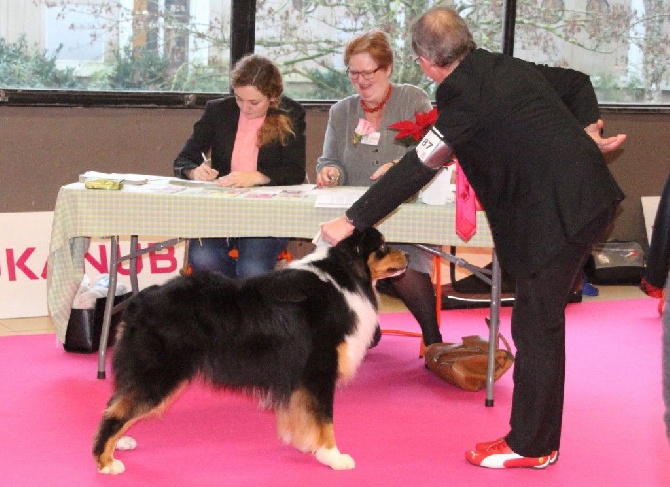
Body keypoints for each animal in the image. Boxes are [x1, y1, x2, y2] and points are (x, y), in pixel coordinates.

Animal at [93, 230, 410, 476]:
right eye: (383, 247)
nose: (407, 255)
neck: (344, 278)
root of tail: (139, 301)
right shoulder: (319, 368)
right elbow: (325, 418)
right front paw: (333, 456)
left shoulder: (299, 376)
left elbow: (303, 414)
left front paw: (307, 444)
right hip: (161, 371)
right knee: (117, 410)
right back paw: (106, 461)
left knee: (116, 402)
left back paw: (120, 443)